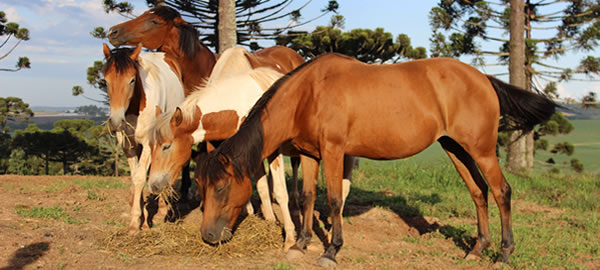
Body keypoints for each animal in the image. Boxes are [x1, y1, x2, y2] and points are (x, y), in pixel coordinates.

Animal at [102, 43, 185, 233]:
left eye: (132, 80)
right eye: (106, 81)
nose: (116, 121)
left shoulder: (148, 145)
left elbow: (141, 178)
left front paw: (135, 224)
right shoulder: (129, 147)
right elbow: (135, 178)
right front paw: (143, 219)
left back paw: (162, 211)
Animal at [196, 53, 556, 266]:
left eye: (221, 187)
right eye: (201, 188)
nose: (208, 236)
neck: (308, 94)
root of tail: (483, 78)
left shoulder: (333, 151)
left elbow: (334, 199)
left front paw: (331, 250)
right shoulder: (311, 155)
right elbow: (308, 197)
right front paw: (302, 243)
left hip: (481, 150)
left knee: (501, 192)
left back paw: (504, 253)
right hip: (456, 148)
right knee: (479, 192)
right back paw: (477, 249)